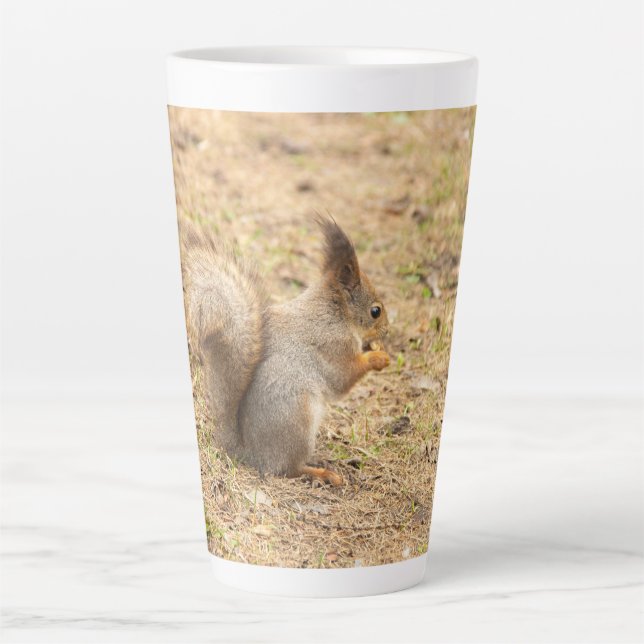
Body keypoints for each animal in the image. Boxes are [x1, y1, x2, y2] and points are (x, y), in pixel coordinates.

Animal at [181, 216, 390, 487]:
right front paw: (378, 357)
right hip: (297, 419)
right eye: (375, 311)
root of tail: (250, 454)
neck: (336, 314)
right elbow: (342, 379)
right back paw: (323, 474)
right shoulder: (334, 345)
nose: (387, 331)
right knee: (287, 469)